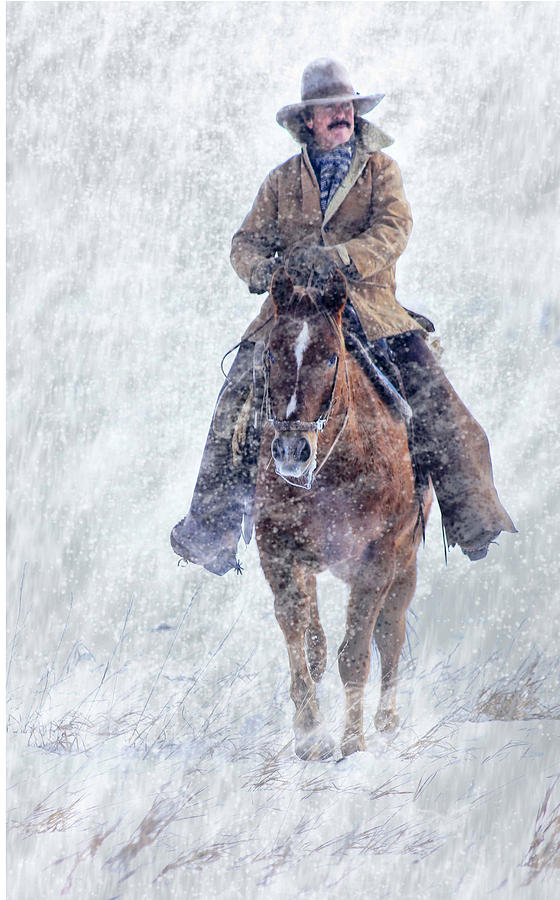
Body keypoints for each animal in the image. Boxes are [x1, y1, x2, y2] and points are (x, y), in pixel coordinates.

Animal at [254, 268, 434, 760]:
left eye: (332, 357)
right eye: (270, 354)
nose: (291, 451)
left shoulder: (378, 558)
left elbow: (356, 652)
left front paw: (353, 742)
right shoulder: (276, 547)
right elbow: (295, 628)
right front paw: (310, 734)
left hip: (405, 561)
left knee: (391, 631)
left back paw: (387, 721)